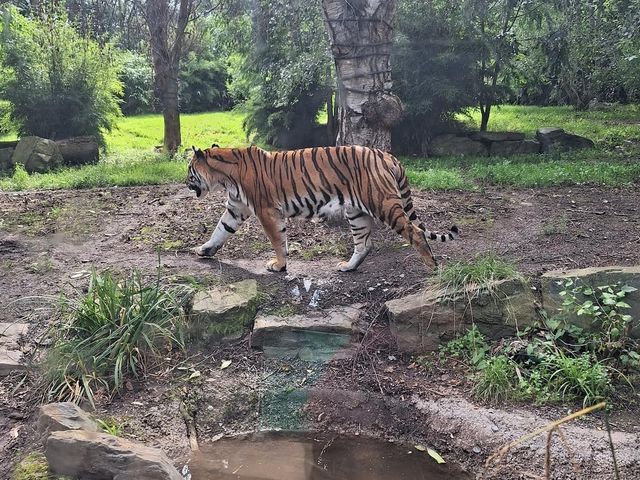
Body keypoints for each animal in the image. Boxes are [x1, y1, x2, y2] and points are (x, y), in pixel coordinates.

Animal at [186, 144, 460, 274]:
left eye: (189, 170)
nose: (186, 183)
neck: (225, 177)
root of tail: (387, 155)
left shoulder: (267, 210)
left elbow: (277, 240)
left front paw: (279, 265)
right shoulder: (236, 208)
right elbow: (220, 230)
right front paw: (203, 250)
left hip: (383, 203)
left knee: (416, 233)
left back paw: (432, 268)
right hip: (356, 212)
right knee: (364, 244)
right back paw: (348, 267)